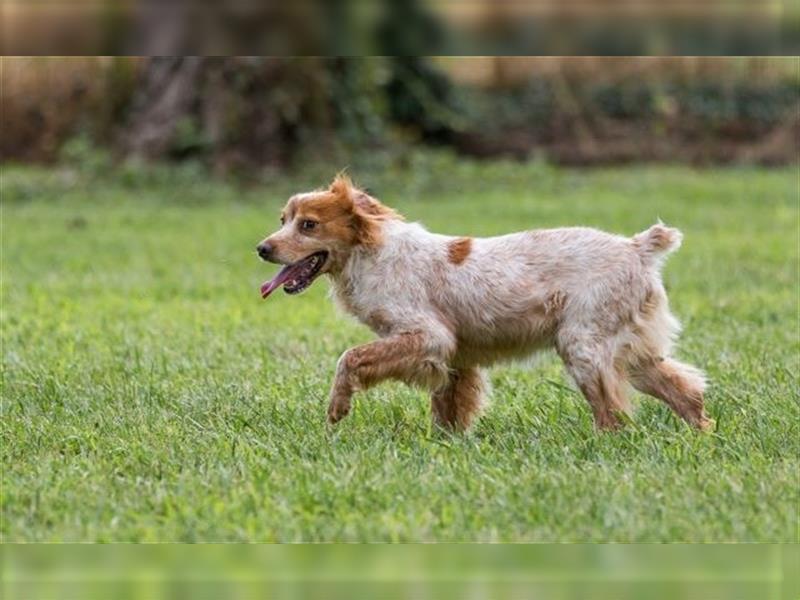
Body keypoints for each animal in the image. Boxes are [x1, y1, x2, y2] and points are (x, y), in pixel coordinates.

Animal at [256, 173, 712, 432]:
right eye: (282, 220)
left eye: (308, 225)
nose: (261, 248)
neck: (371, 253)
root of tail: (637, 247)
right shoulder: (455, 356)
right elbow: (447, 408)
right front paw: (446, 444)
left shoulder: (429, 337)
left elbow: (349, 358)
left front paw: (337, 407)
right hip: (631, 352)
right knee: (686, 390)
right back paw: (702, 433)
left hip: (584, 347)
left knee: (613, 414)